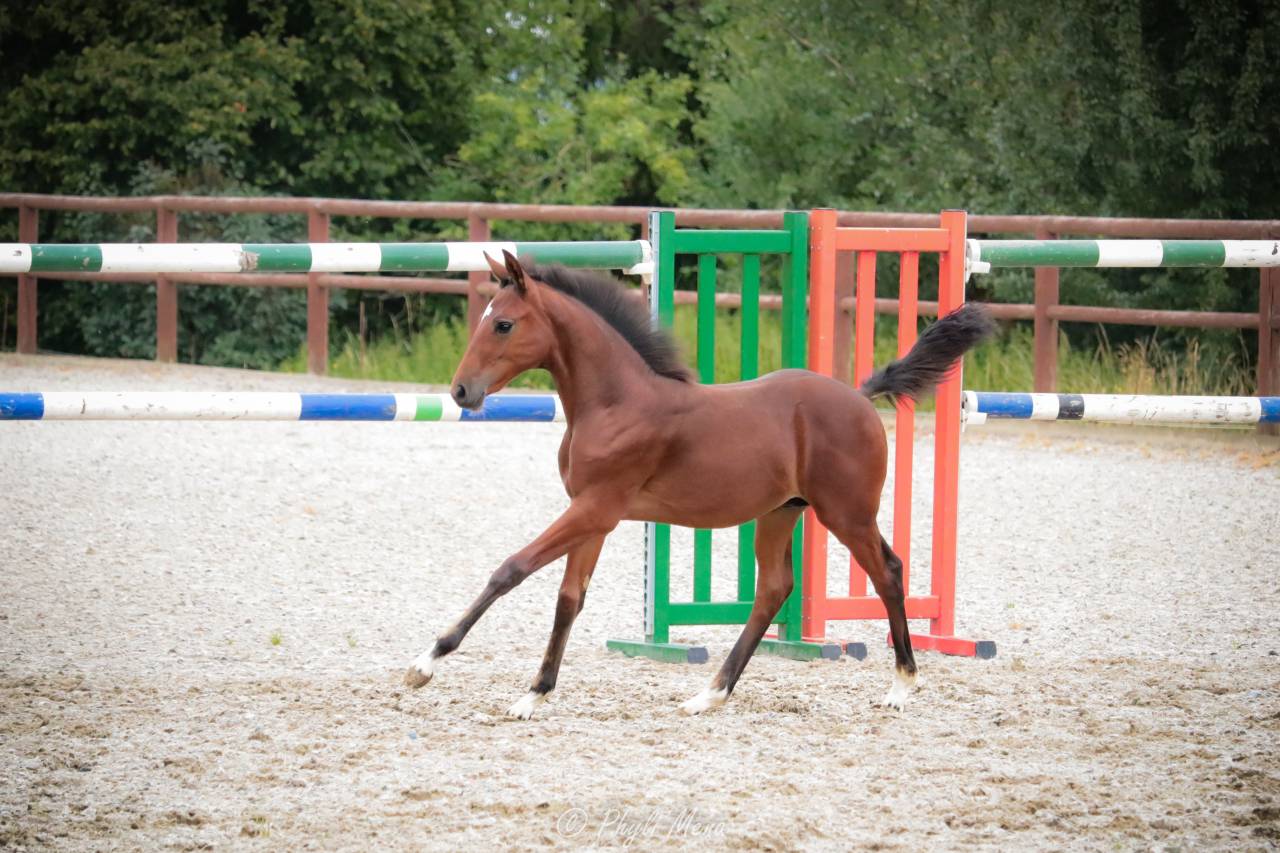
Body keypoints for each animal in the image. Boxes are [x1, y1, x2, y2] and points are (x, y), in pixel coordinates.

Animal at [404, 250, 994, 719]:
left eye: (503, 324)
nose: (461, 391)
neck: (615, 403)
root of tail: (859, 395)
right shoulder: (593, 516)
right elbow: (568, 599)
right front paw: (535, 693)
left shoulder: (595, 508)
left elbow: (511, 570)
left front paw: (426, 663)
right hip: (781, 511)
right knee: (773, 589)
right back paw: (710, 693)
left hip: (846, 513)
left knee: (887, 571)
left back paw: (902, 685)